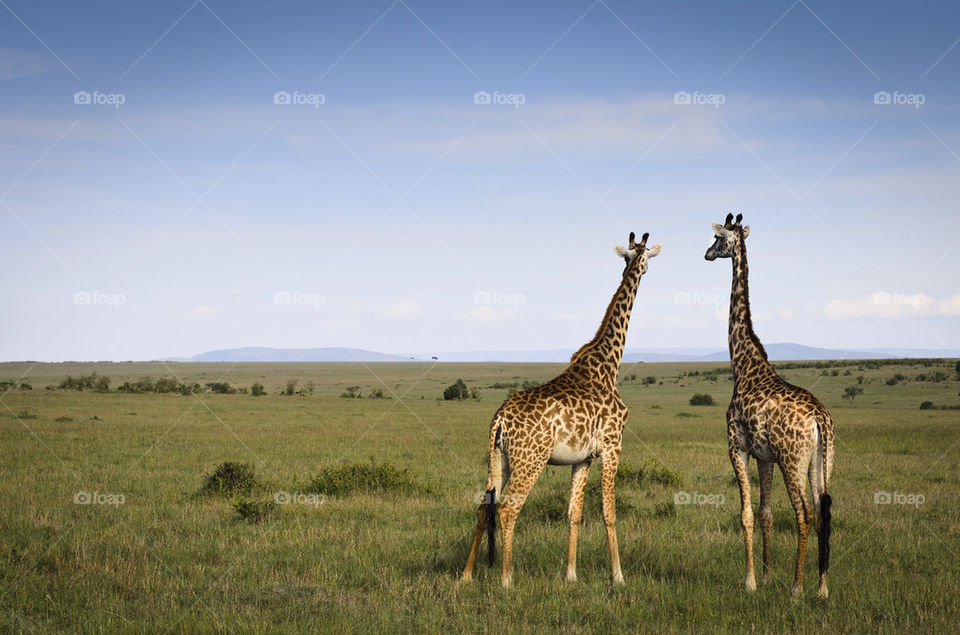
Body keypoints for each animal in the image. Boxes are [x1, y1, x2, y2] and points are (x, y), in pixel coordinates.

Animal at [462, 231, 664, 588]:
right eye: (643, 260)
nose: (640, 270)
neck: (609, 364)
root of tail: (500, 419)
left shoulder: (583, 457)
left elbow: (574, 513)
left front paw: (570, 575)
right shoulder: (613, 445)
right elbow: (609, 512)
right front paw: (618, 576)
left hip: (498, 458)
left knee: (484, 506)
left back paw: (468, 575)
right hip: (530, 460)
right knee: (507, 508)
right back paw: (506, 579)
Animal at [700, 216, 836, 600]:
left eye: (718, 238)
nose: (706, 254)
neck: (743, 365)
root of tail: (819, 419)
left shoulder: (737, 447)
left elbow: (746, 513)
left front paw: (750, 582)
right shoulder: (765, 457)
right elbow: (765, 514)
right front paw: (766, 575)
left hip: (793, 460)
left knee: (805, 514)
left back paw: (797, 588)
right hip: (822, 462)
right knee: (822, 512)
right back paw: (821, 587)